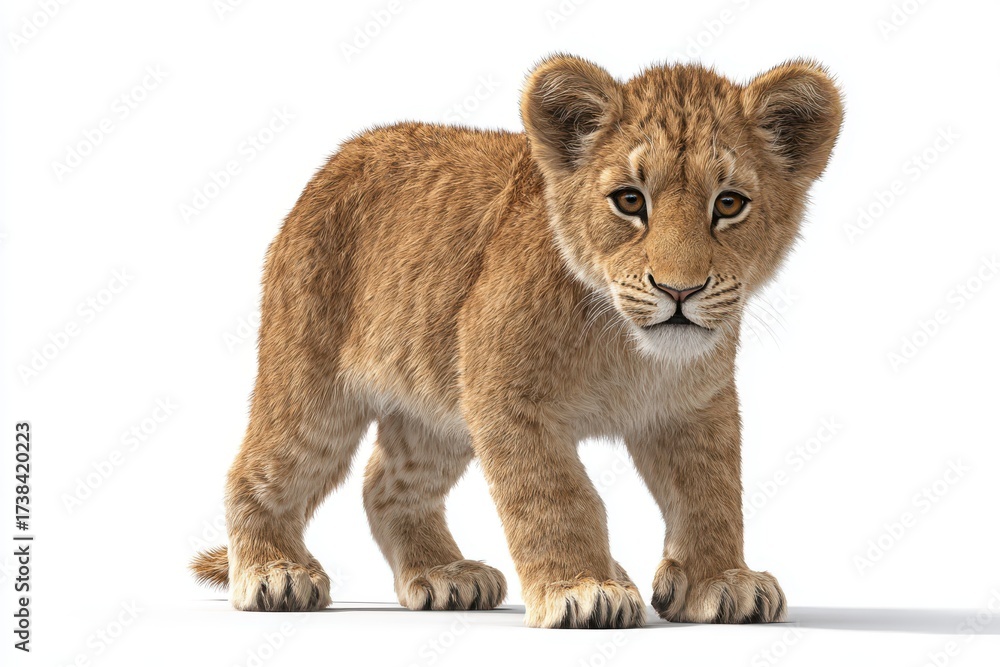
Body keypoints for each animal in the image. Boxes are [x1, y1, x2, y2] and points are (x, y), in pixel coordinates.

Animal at [191, 54, 843, 628]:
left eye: (728, 203)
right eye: (630, 200)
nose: (678, 290)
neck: (628, 347)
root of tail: (340, 157)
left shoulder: (695, 408)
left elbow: (712, 494)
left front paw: (719, 581)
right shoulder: (507, 399)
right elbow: (557, 497)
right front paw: (584, 590)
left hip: (437, 409)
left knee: (385, 484)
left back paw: (444, 574)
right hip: (314, 389)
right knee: (260, 471)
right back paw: (274, 573)